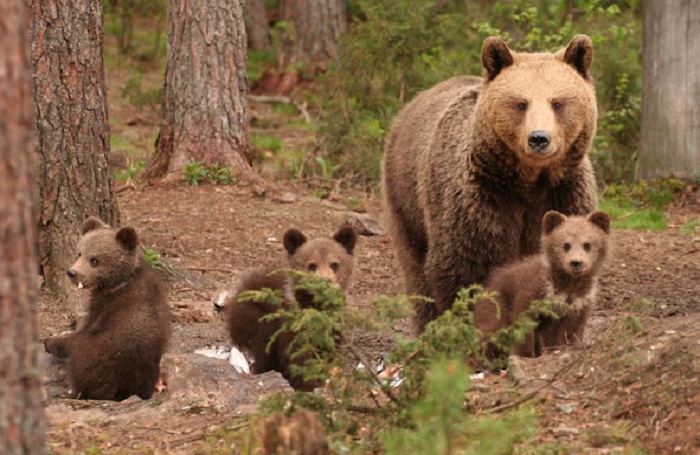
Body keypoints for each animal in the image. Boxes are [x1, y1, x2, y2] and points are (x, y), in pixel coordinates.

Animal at [44, 216, 171, 401]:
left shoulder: (103, 307)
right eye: (80, 253)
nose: (72, 272)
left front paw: (51, 341)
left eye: (95, 260)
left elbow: (80, 332)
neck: (117, 282)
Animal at [226, 226, 357, 391]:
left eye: (334, 264)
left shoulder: (332, 327)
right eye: (312, 265)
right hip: (255, 317)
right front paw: (307, 384)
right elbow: (296, 357)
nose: (325, 281)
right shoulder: (292, 328)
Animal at [382, 35, 599, 333]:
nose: (539, 138)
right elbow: (466, 268)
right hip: (406, 199)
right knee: (416, 268)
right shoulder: (482, 198)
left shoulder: (563, 193)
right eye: (521, 103)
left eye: (557, 102)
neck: (530, 180)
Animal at [474, 210, 611, 359]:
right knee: (490, 331)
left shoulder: (578, 303)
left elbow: (569, 331)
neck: (566, 285)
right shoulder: (533, 292)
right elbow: (524, 322)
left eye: (587, 244)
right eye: (566, 245)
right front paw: (524, 353)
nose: (576, 262)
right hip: (497, 305)